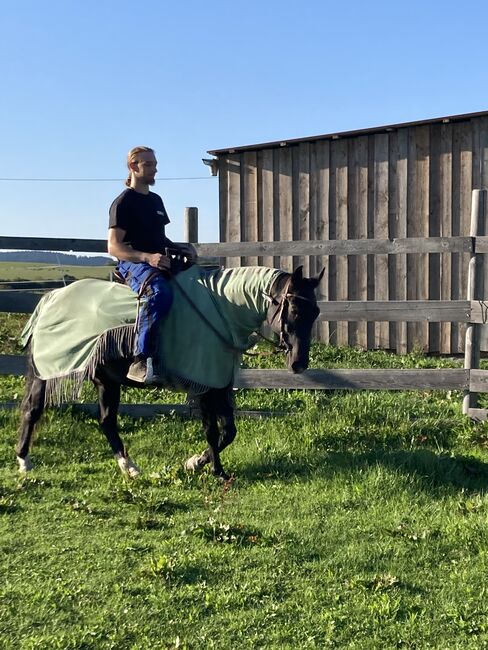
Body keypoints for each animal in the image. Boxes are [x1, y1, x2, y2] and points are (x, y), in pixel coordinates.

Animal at [16, 260, 324, 478]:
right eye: (295, 309)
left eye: (316, 312)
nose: (299, 363)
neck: (222, 310)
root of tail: (51, 297)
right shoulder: (203, 386)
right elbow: (212, 431)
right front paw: (215, 470)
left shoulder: (220, 384)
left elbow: (229, 431)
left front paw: (196, 462)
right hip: (45, 372)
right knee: (32, 409)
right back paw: (24, 460)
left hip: (106, 380)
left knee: (106, 421)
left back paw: (129, 467)